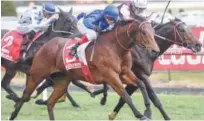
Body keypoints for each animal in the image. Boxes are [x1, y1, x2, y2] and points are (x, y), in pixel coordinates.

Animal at [9, 18, 159, 120]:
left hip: (62, 81)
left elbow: (141, 84)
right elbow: (125, 95)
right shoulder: (110, 76)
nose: (155, 51)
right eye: (144, 32)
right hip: (37, 75)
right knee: (25, 96)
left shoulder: (124, 73)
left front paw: (148, 111)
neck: (115, 47)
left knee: (50, 103)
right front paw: (140, 114)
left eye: (153, 32)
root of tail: (44, 45)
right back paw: (12, 115)